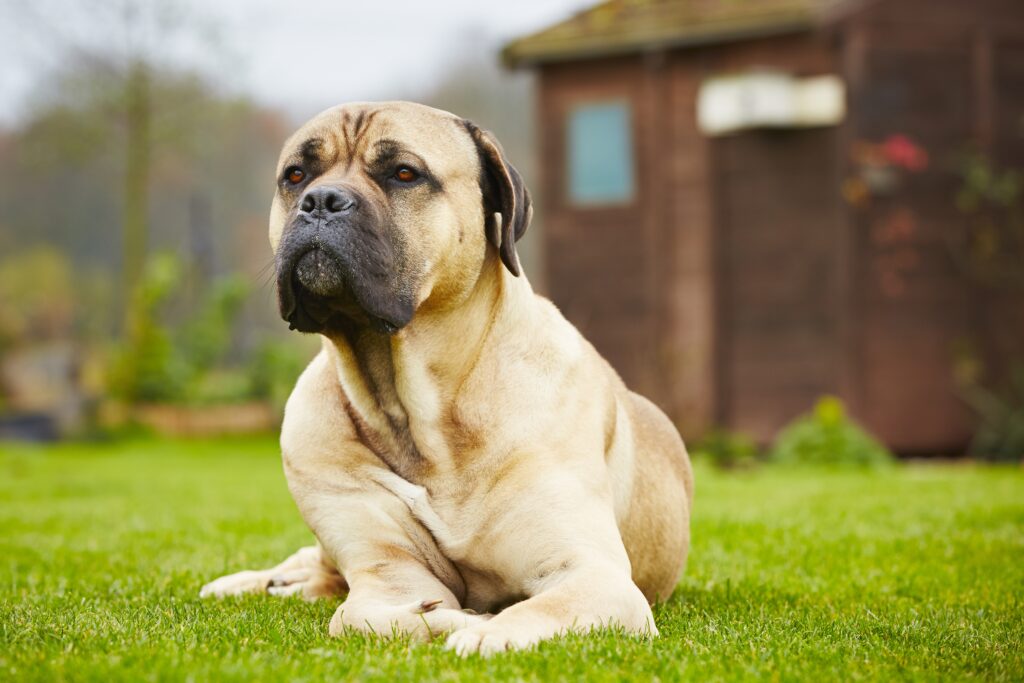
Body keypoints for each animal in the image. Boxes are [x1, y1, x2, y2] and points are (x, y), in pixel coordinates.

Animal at [197, 101, 696, 655]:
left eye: (404, 174)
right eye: (296, 175)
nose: (321, 201)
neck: (419, 413)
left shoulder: (594, 576)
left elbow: (532, 611)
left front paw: (482, 632)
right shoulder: (387, 571)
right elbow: (358, 617)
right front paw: (452, 619)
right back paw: (250, 582)